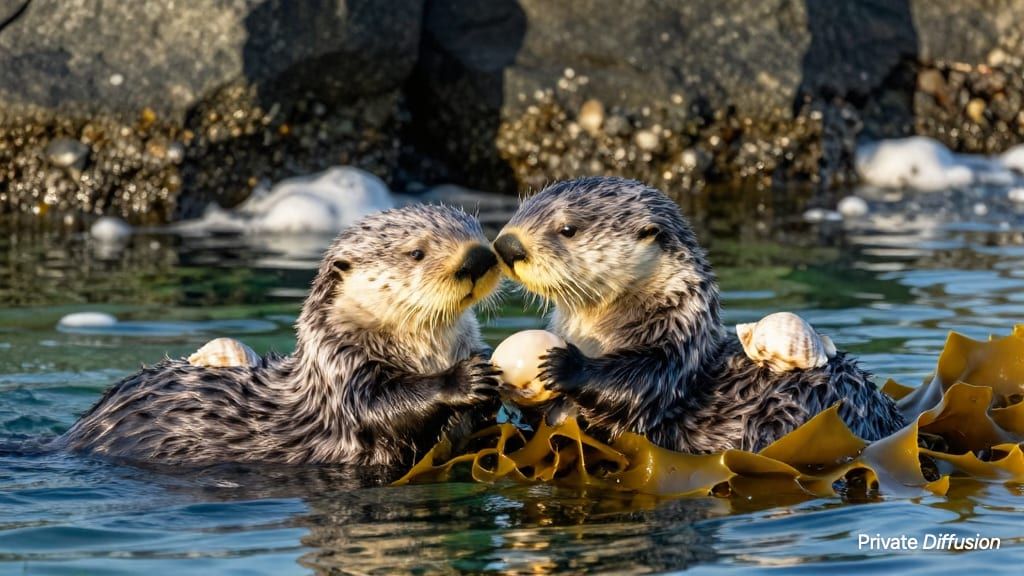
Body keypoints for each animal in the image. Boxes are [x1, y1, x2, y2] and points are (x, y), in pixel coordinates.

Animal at [56, 205, 503, 468]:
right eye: (416, 253)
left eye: (478, 232)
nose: (479, 257)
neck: (427, 353)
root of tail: (72, 434)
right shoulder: (342, 371)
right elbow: (381, 407)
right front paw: (466, 379)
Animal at [492, 177, 905, 453]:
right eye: (520, 212)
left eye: (567, 228)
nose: (507, 245)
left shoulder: (673, 349)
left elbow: (640, 385)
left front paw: (564, 365)